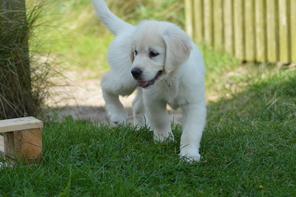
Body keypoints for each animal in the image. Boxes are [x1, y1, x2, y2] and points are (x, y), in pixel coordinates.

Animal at [92, 0, 206, 162]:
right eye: (135, 52)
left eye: (153, 53)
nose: (135, 71)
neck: (170, 78)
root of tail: (128, 29)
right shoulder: (154, 100)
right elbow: (161, 120)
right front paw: (164, 140)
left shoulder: (193, 103)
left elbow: (191, 131)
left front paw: (189, 155)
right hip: (125, 80)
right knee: (105, 82)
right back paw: (117, 114)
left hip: (139, 85)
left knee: (136, 104)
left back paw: (141, 127)